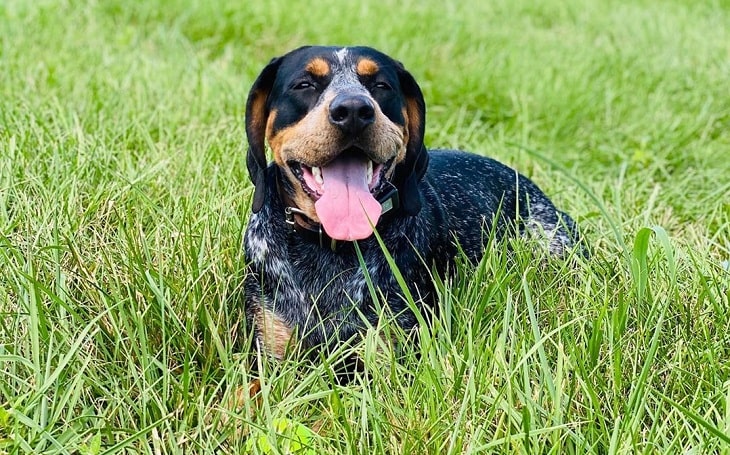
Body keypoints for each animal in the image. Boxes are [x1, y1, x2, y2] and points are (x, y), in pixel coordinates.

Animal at [242, 44, 576, 368]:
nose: (353, 110)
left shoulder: (388, 356)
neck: (332, 247)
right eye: (304, 84)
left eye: (381, 85)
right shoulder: (268, 353)